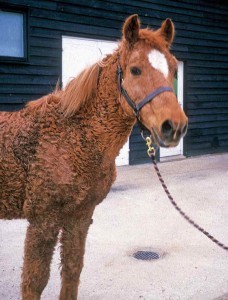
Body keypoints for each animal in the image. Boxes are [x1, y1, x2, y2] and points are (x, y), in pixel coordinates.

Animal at [0, 14, 187, 300]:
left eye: (174, 71)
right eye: (135, 70)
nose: (174, 127)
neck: (74, 136)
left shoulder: (80, 215)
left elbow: (72, 271)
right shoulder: (42, 220)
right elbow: (34, 282)